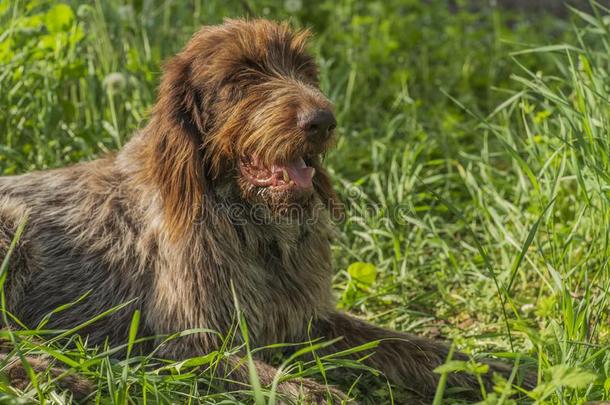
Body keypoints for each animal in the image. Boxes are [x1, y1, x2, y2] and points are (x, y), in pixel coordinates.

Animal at [0, 18, 524, 400]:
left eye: (305, 70)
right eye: (242, 77)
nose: (323, 121)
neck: (254, 230)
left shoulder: (308, 321)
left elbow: (416, 347)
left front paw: (500, 370)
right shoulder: (185, 346)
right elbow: (292, 385)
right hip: (12, 232)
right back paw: (61, 372)